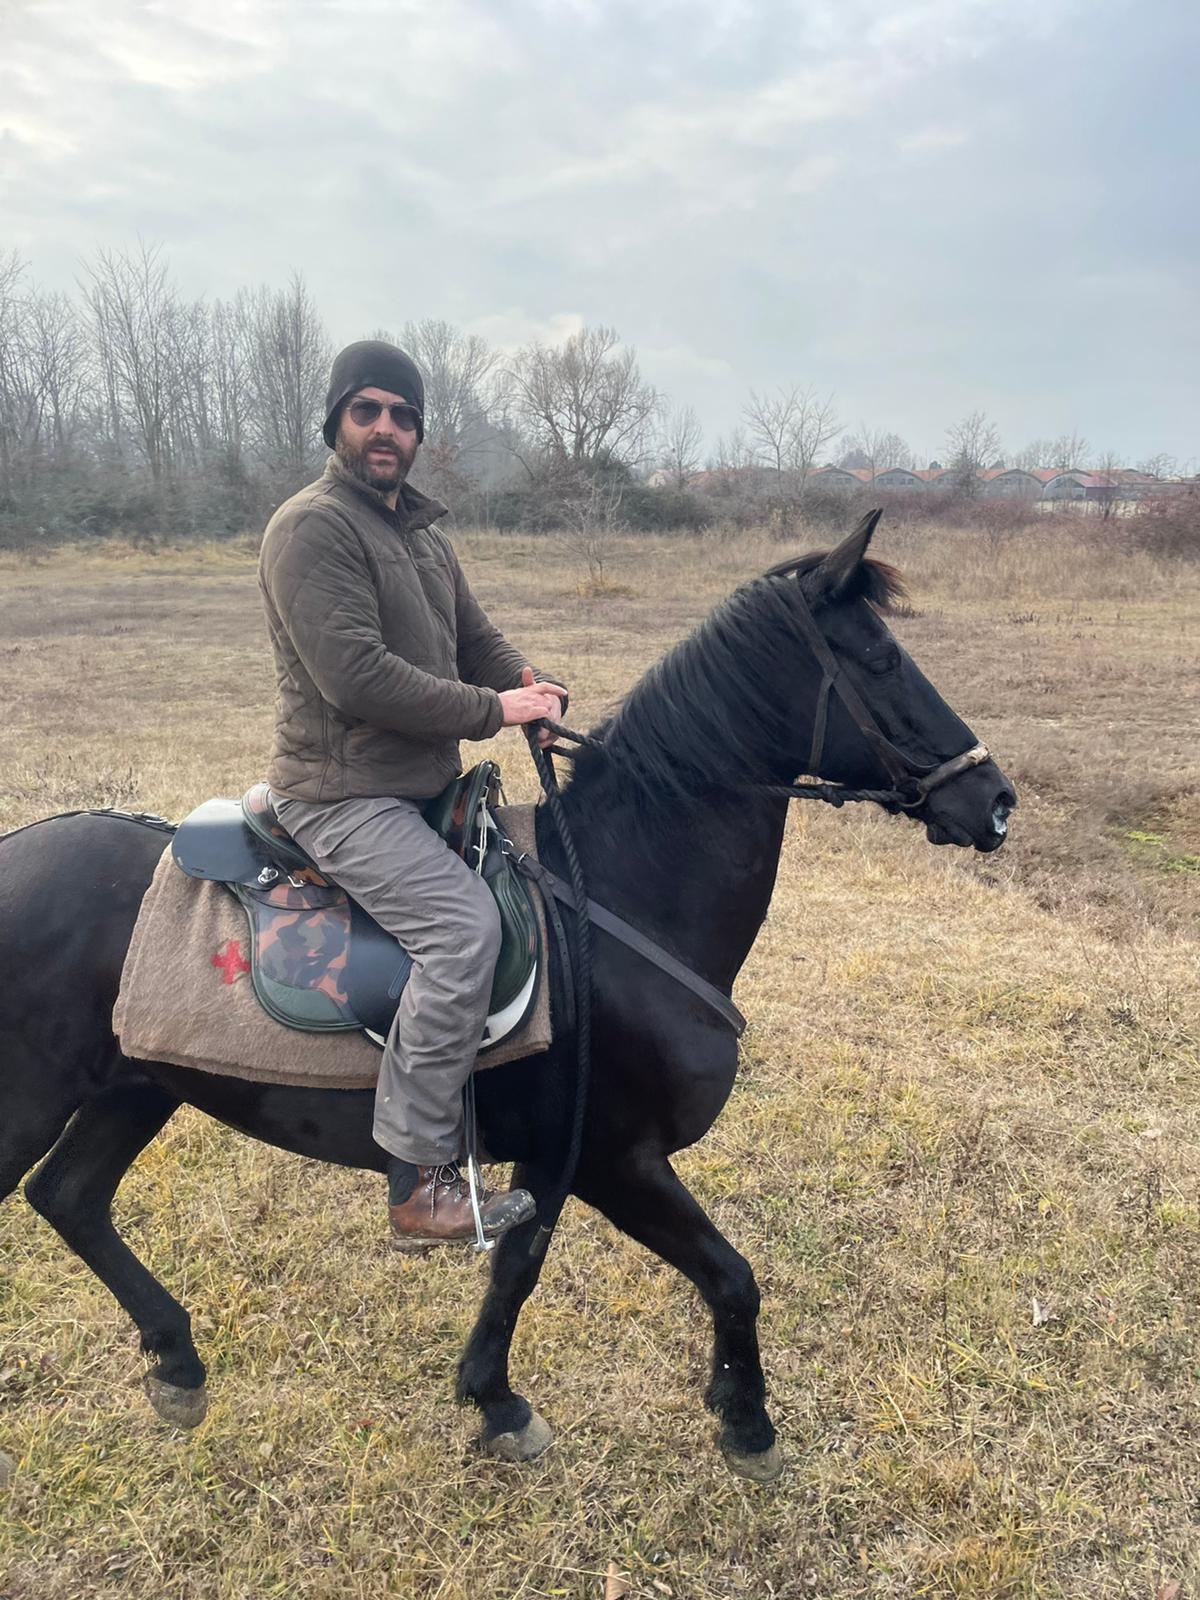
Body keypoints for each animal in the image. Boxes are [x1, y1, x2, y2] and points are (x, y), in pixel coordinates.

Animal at [0, 512, 1015, 1482]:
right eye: (881, 659)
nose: (997, 801)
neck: (617, 892)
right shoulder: (616, 1158)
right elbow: (731, 1276)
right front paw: (748, 1423)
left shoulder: (554, 1160)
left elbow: (517, 1274)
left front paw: (495, 1401)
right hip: (46, 1096)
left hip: (138, 1086)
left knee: (70, 1197)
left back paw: (177, 1363)